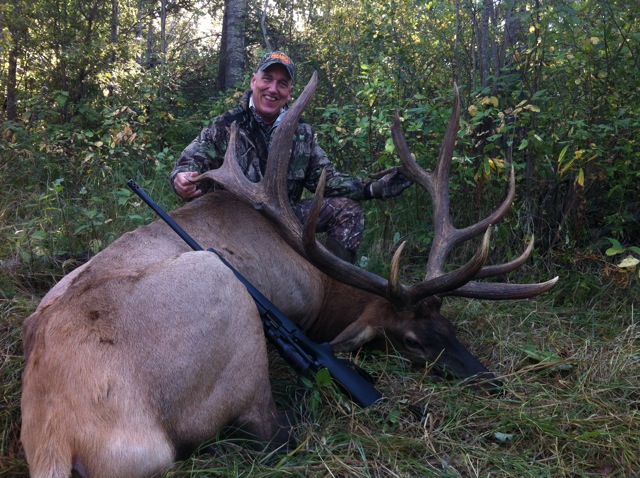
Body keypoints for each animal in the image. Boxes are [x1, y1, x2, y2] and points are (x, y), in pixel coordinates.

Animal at [20, 71, 557, 478]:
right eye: (412, 341)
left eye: (450, 324)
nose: (489, 380)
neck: (324, 283)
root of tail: (56, 441)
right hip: (224, 295)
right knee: (274, 432)